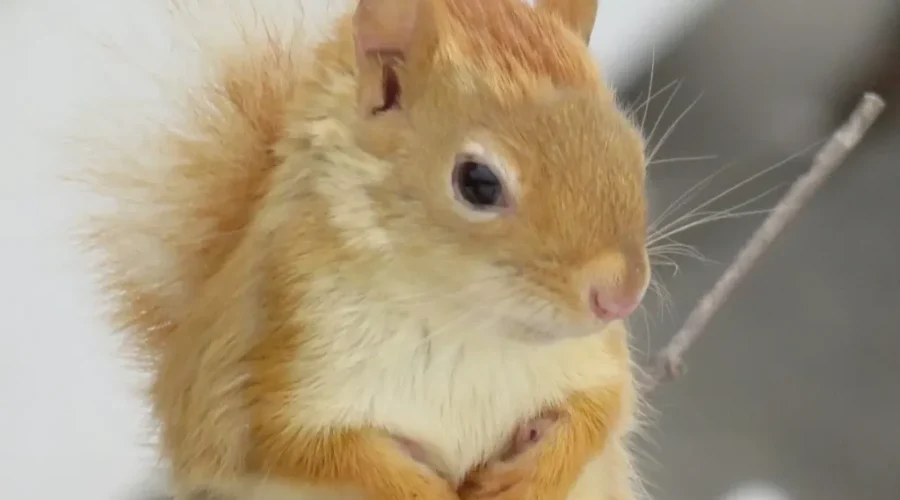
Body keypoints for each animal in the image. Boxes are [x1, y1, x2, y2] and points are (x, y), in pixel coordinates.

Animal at [77, 0, 651, 498]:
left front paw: (528, 479)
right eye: (479, 183)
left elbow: (599, 409)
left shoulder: (593, 358)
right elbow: (306, 450)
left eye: (633, 144)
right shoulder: (269, 361)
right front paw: (423, 491)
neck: (462, 319)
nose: (620, 296)